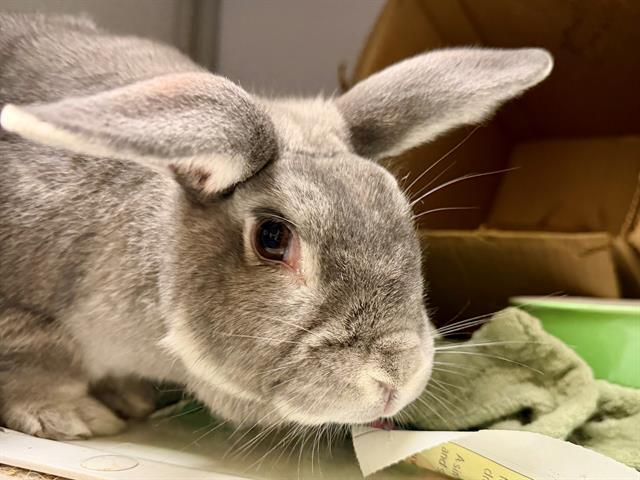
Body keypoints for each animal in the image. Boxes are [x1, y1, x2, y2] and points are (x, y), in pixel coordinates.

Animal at [0, 13, 553, 440]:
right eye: (272, 237)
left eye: (401, 214)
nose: (395, 378)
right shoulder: (23, 308)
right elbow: (41, 356)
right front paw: (75, 420)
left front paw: (129, 401)